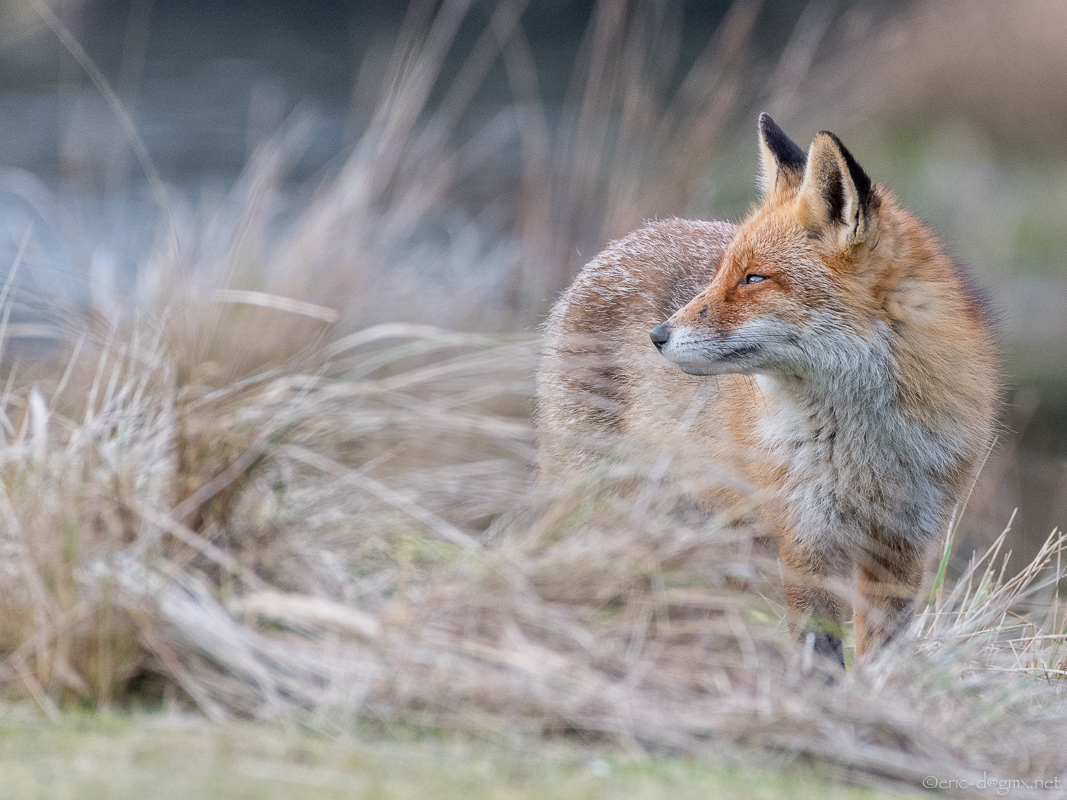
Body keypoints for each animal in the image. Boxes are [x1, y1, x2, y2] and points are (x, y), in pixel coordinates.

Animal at [537, 114, 999, 665]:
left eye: (753, 278)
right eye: (720, 273)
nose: (658, 336)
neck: (866, 446)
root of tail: (626, 239)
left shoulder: (904, 542)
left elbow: (883, 648)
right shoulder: (804, 533)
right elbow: (820, 650)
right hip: (599, 491)